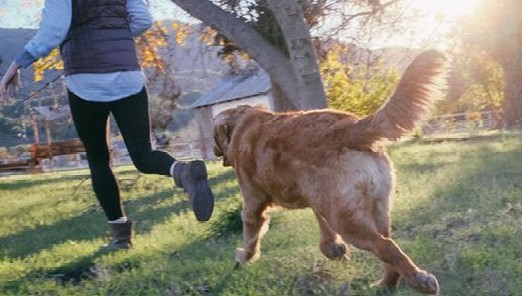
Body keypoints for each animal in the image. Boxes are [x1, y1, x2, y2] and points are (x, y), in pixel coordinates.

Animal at [213, 50, 444, 294]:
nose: (214, 150)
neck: (241, 123)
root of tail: (348, 128)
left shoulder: (253, 201)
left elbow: (250, 233)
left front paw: (244, 256)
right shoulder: (316, 198)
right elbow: (322, 222)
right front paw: (333, 247)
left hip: (347, 220)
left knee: (386, 246)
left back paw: (419, 280)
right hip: (375, 207)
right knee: (388, 249)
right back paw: (385, 284)